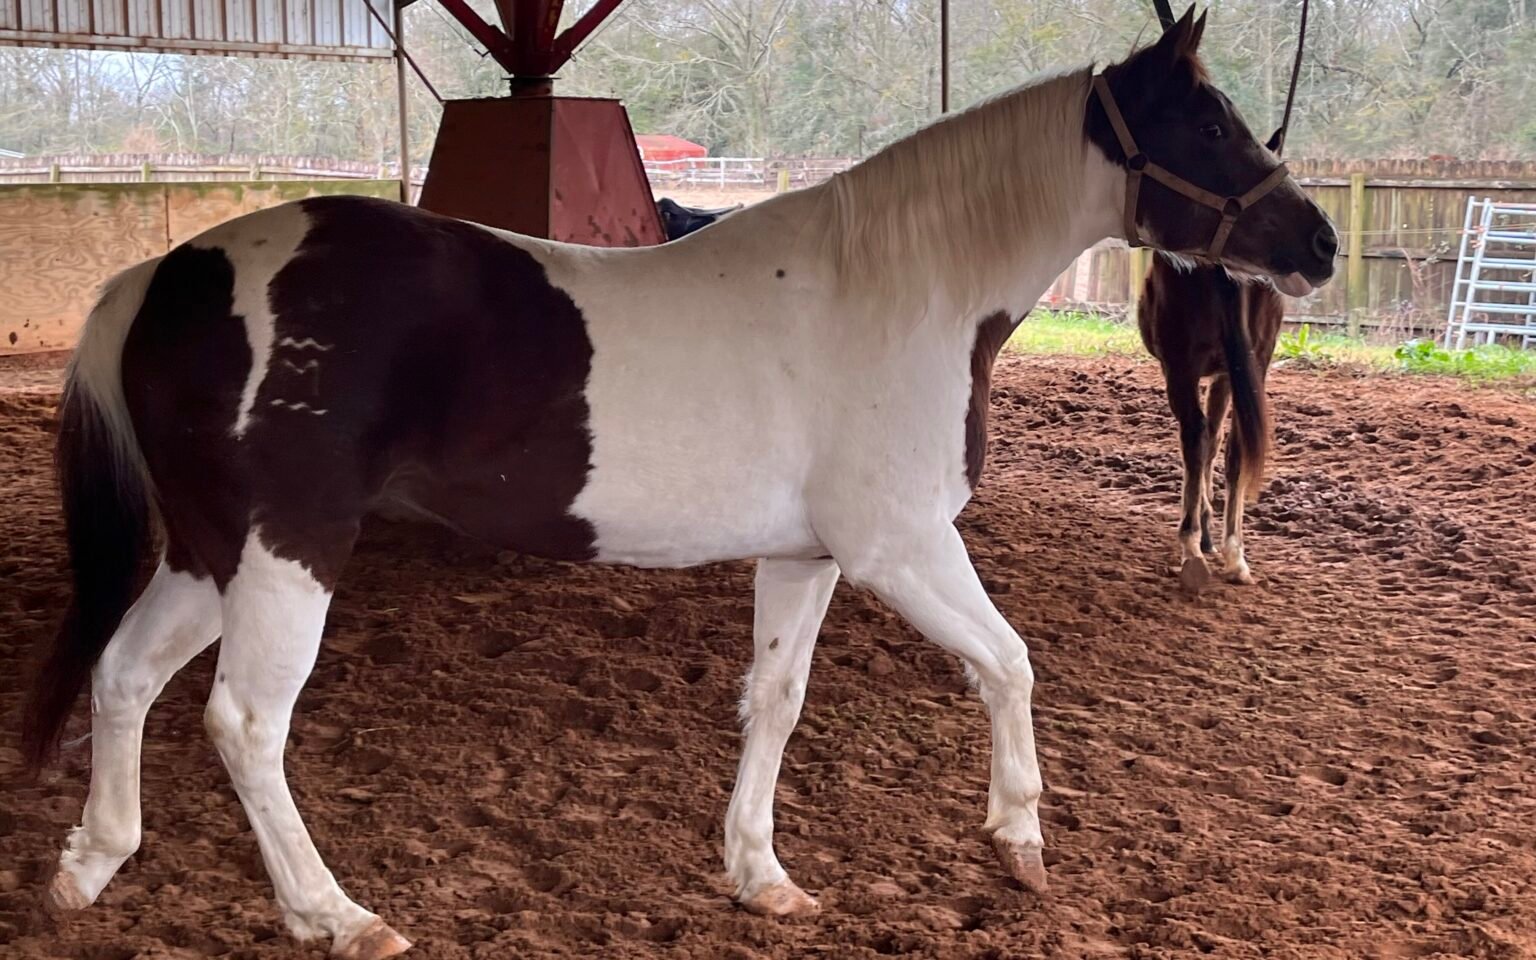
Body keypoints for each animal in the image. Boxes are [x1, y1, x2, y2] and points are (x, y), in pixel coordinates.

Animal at [1138, 256, 1287, 592]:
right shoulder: (1228, 374)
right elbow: (1215, 441)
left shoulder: (1197, 372)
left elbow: (1208, 440)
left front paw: (1203, 535)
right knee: (1223, 446)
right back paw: (1227, 553)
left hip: (1186, 371)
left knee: (1200, 438)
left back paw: (1196, 547)